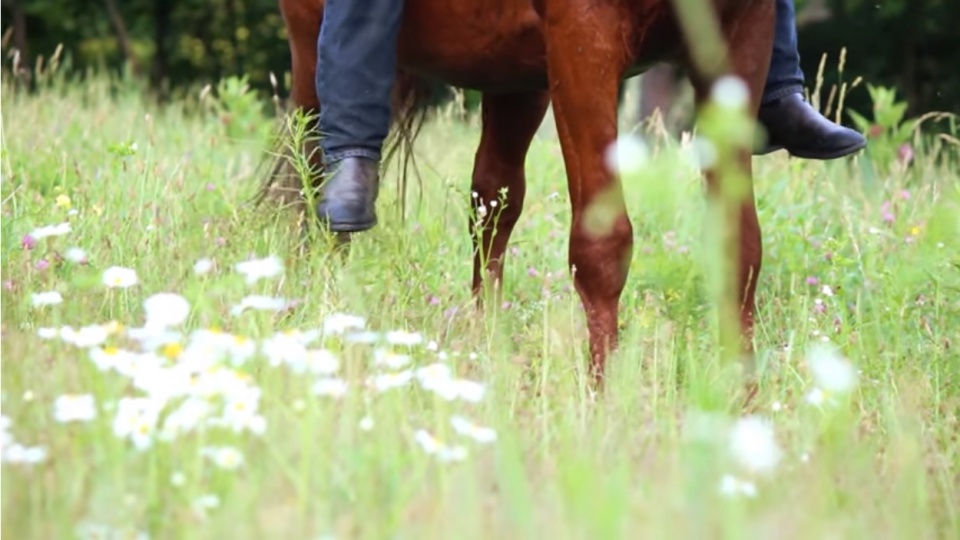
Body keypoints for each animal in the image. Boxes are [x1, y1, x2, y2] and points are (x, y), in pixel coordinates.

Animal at [258, 0, 776, 388]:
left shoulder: (743, 34)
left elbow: (740, 246)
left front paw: (743, 400)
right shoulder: (583, 37)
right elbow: (602, 246)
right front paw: (606, 404)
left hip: (516, 79)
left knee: (491, 205)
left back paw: (485, 341)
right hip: (311, 47)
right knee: (313, 187)